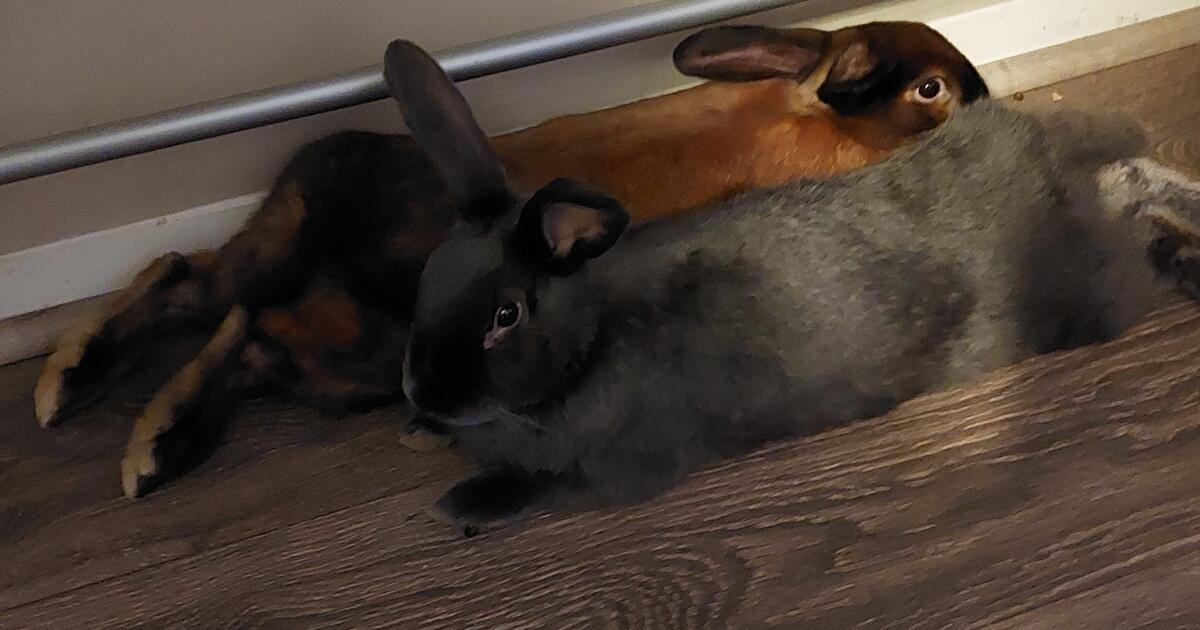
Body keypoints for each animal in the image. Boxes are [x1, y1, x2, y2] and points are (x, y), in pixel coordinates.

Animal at [384, 38, 1200, 534]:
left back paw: (1179, 250)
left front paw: (461, 502)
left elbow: (547, 488)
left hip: (1088, 297)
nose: (421, 392)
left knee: (1134, 208)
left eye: (506, 315)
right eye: (424, 284)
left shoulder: (622, 470)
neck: (591, 340)